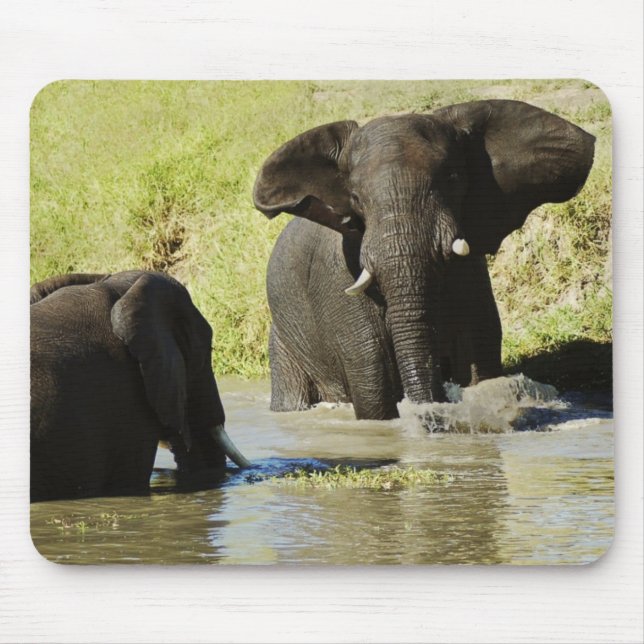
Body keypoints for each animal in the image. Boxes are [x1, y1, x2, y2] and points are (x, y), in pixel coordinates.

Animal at [253, 99, 595, 420]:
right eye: (356, 199)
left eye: (453, 178)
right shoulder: (338, 275)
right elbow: (373, 379)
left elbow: (477, 355)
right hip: (285, 344)